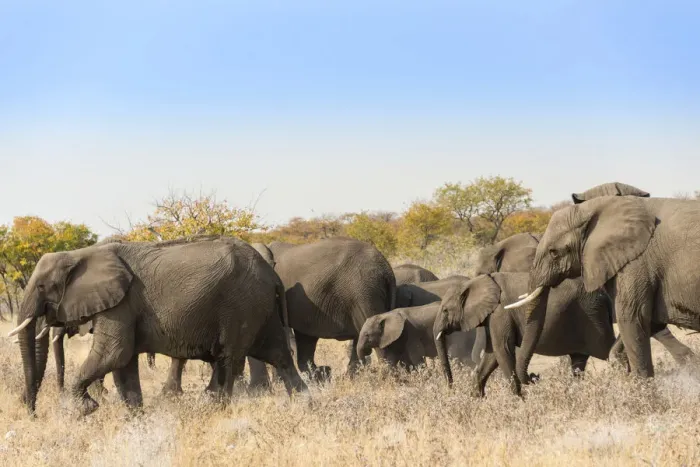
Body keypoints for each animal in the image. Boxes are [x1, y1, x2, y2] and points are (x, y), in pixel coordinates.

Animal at [8, 235, 307, 416]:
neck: (81, 254)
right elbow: (123, 365)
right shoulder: (121, 305)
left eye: (42, 286)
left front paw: (83, 408)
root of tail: (272, 274)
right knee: (278, 354)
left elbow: (113, 354)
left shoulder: (121, 303)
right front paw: (136, 420)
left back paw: (212, 407)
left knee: (228, 359)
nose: (32, 413)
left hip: (241, 304)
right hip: (260, 306)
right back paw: (305, 403)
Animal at [434, 273, 615, 396]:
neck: (475, 282)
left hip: (593, 317)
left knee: (606, 350)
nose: (451, 388)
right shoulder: (492, 316)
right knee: (578, 361)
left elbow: (502, 350)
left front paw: (518, 403)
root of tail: (605, 296)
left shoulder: (500, 312)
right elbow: (491, 355)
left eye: (445, 310)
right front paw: (477, 400)